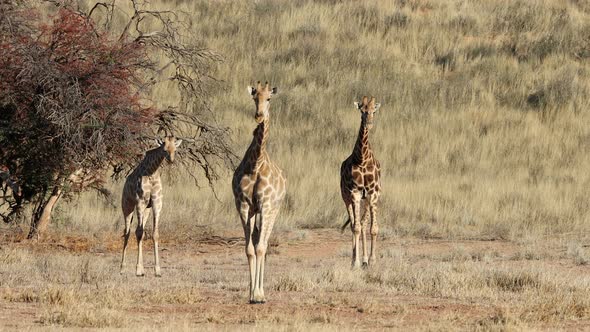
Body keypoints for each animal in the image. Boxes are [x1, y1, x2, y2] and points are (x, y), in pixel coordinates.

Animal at [121, 136, 183, 276]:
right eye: (164, 150)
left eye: (175, 149)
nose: (171, 160)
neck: (152, 172)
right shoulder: (140, 201)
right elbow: (139, 233)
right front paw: (138, 269)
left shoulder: (156, 203)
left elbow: (155, 234)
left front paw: (157, 270)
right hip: (127, 206)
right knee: (127, 232)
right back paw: (122, 268)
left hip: (146, 211)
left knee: (138, 231)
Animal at [232, 81, 288, 304]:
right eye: (254, 97)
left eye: (269, 98)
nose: (259, 115)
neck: (256, 164)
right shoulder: (244, 206)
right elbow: (249, 249)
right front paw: (251, 293)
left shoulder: (265, 205)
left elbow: (261, 248)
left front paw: (258, 294)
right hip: (256, 213)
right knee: (257, 242)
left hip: (274, 211)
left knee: (264, 243)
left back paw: (262, 293)